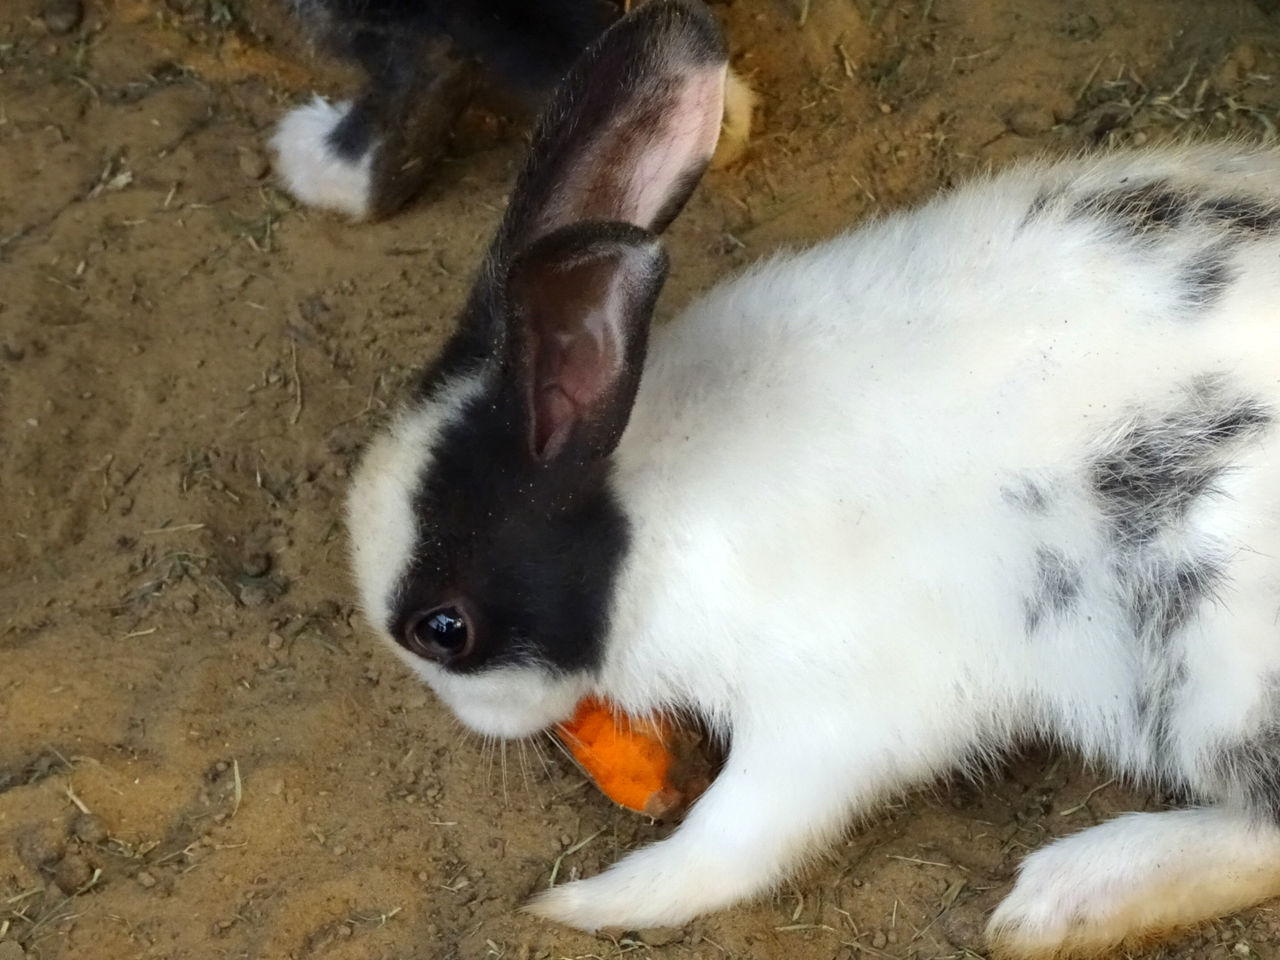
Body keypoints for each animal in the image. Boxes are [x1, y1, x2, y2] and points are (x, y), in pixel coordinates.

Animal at [345, 1, 1280, 957]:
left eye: (444, 629)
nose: (467, 718)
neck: (643, 518)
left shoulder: (822, 720)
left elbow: (733, 838)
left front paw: (587, 903)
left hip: (1218, 655)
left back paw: (1059, 901)